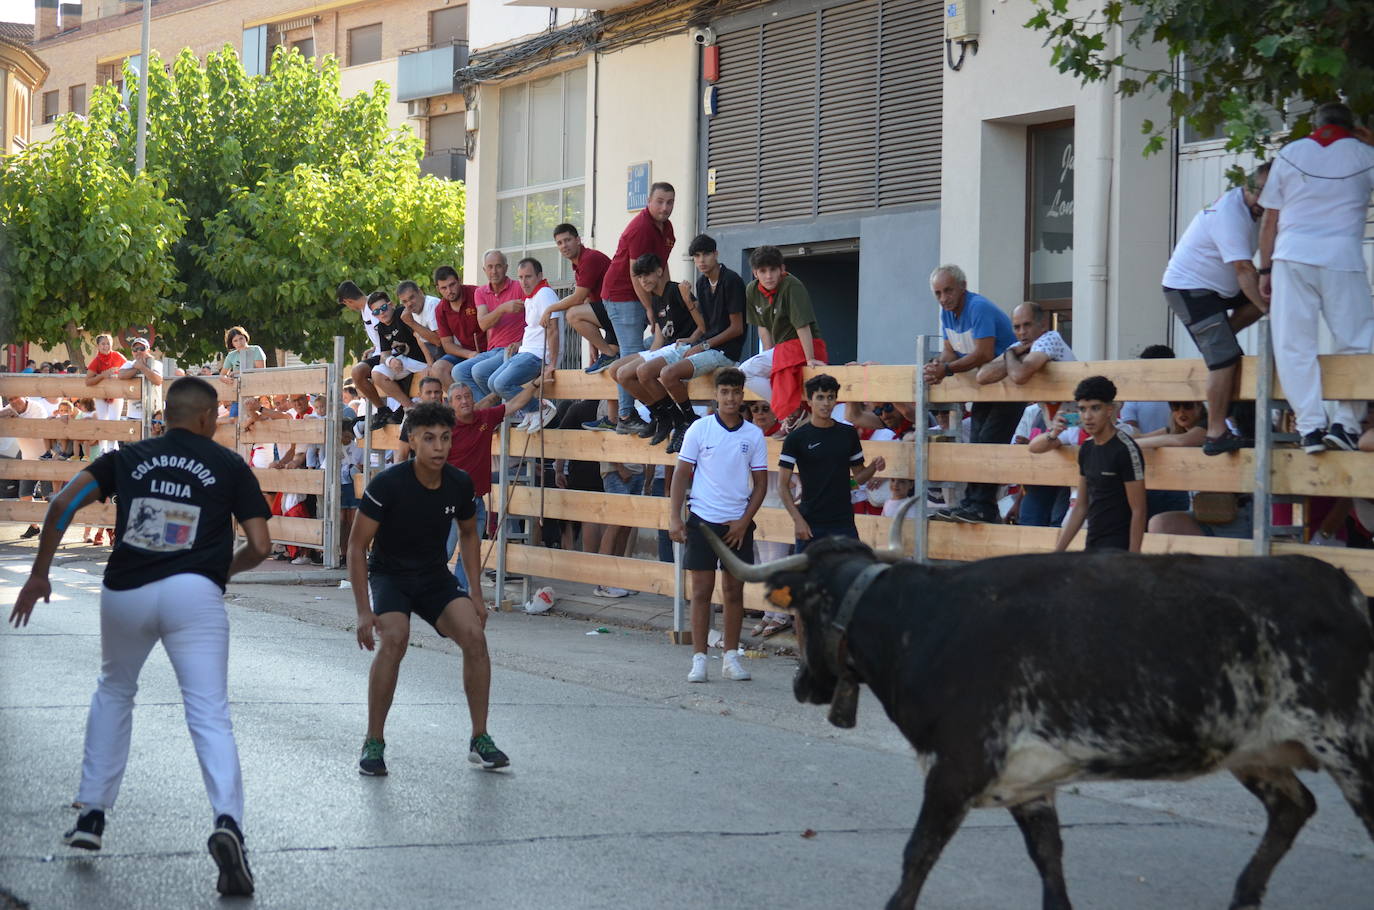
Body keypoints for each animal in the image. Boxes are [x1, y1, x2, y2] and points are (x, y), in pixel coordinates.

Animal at [703, 505, 1374, 910]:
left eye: (800, 610)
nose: (802, 685)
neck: (917, 622)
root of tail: (1343, 586)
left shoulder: (957, 768)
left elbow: (916, 856)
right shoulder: (1030, 781)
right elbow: (1049, 864)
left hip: (1349, 743)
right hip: (1260, 750)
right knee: (1293, 808)